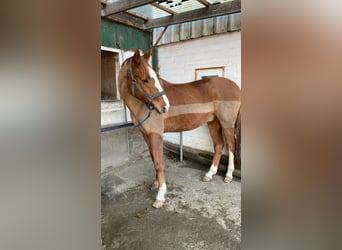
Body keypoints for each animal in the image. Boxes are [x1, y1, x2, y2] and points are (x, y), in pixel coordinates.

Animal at [119, 47, 242, 208]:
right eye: (145, 79)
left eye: (156, 77)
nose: (165, 107)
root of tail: (235, 86)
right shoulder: (146, 135)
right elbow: (153, 158)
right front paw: (155, 183)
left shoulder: (156, 135)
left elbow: (159, 162)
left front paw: (160, 196)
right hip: (213, 122)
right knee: (219, 145)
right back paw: (209, 174)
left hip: (226, 123)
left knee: (231, 147)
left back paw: (228, 176)